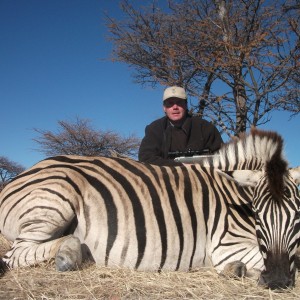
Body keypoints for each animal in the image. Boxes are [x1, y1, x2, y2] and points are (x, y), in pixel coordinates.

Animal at [0, 128, 298, 288]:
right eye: (257, 214)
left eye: (297, 218)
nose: (278, 280)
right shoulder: (226, 245)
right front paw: (238, 270)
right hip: (55, 200)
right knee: (15, 255)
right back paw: (67, 256)